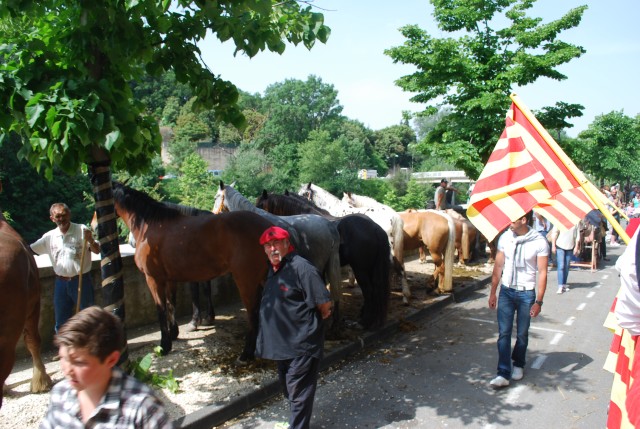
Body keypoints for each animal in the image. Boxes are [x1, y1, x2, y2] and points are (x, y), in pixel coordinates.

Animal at [109, 181, 272, 362]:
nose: (94, 224)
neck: (152, 227)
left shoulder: (153, 279)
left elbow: (161, 309)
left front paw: (164, 345)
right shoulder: (169, 279)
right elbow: (170, 304)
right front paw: (174, 333)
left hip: (246, 281)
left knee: (253, 314)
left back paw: (246, 354)